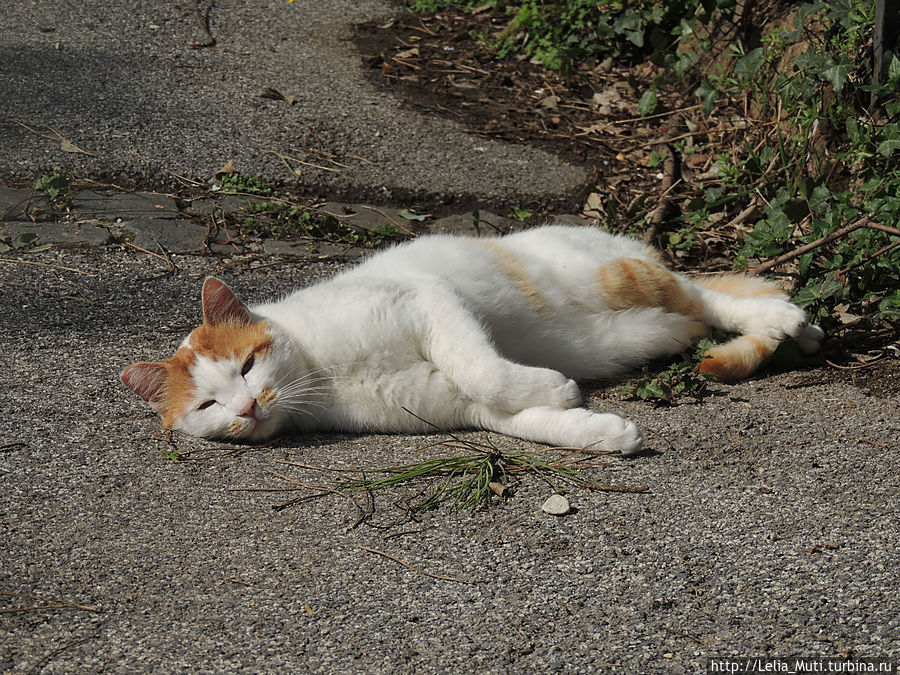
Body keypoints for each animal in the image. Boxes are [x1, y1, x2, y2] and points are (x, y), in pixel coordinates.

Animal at [123, 226, 828, 454]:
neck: (322, 379)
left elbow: (488, 369)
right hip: (647, 325)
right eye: (207, 406)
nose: (246, 407)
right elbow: (517, 417)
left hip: (624, 277)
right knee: (703, 314)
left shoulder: (431, 302)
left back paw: (787, 321)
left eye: (247, 363)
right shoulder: (457, 406)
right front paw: (595, 430)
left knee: (710, 294)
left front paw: (556, 388)